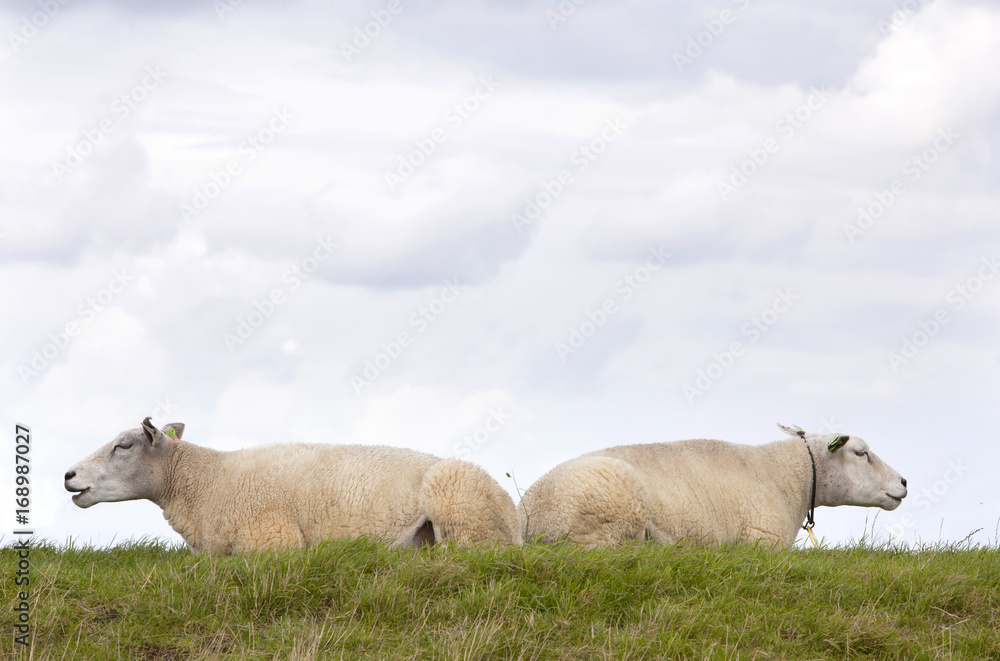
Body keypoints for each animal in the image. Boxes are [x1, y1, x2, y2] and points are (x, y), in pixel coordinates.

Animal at [64, 418, 521, 554]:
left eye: (124, 445)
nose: (68, 475)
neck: (207, 482)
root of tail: (513, 514)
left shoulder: (271, 541)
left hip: (458, 505)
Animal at [517, 424, 908, 549]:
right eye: (861, 452)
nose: (904, 482)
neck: (790, 476)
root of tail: (526, 516)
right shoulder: (762, 541)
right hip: (609, 520)